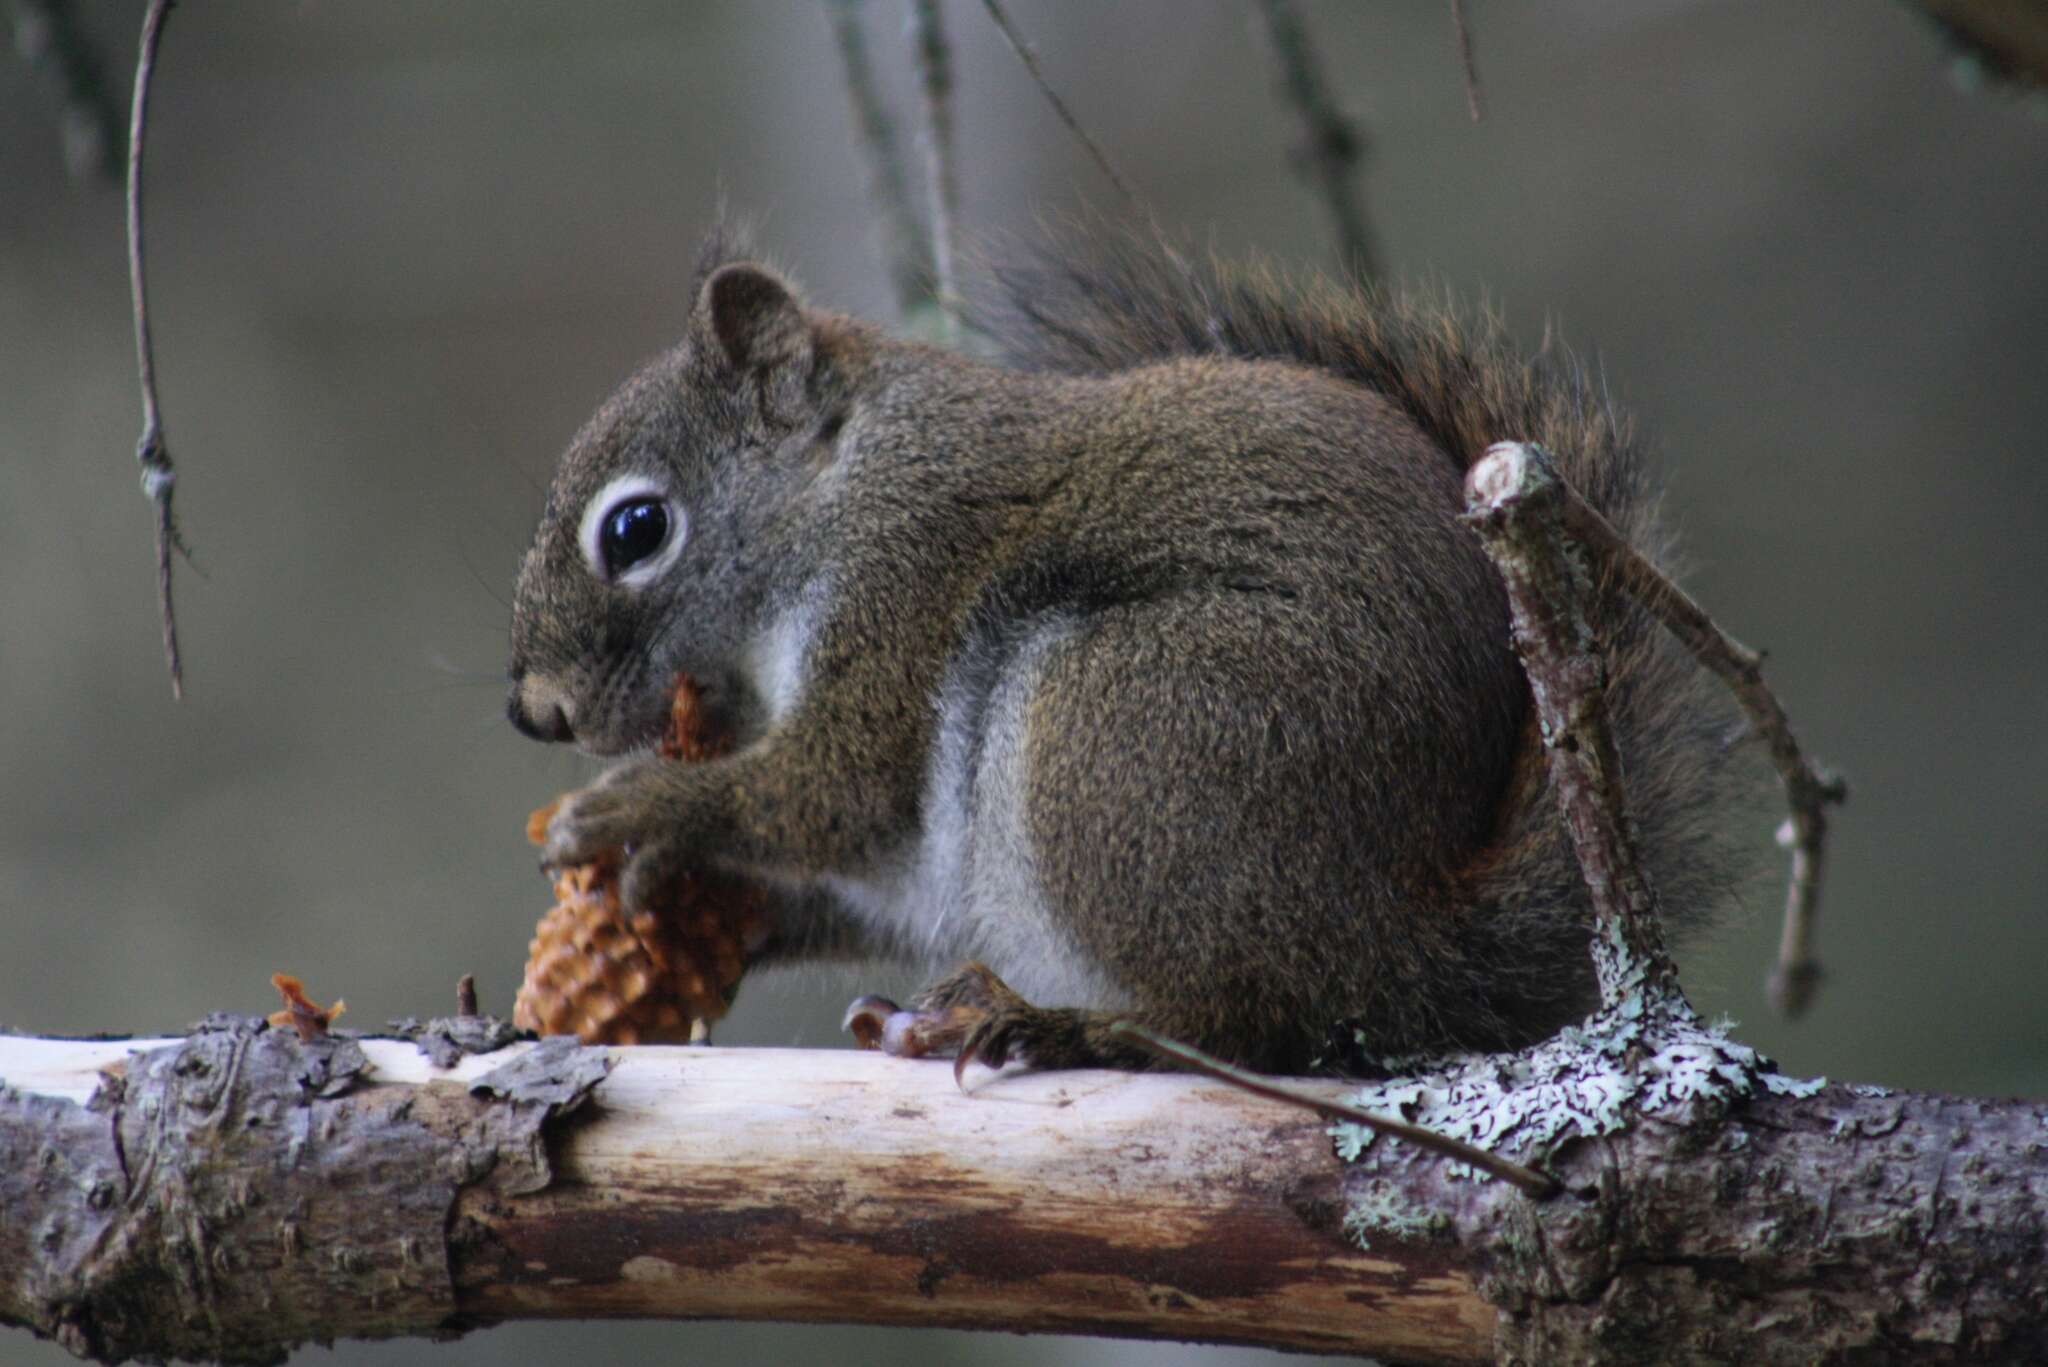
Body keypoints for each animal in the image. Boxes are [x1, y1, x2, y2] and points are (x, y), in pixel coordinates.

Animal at [512, 227, 1744, 1082]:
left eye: (636, 529)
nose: (537, 713)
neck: (840, 484)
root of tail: (1402, 939)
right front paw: (704, 900)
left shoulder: (905, 581)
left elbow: (836, 784)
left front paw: (636, 810)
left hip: (1121, 727)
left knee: (1247, 1024)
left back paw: (1052, 1025)